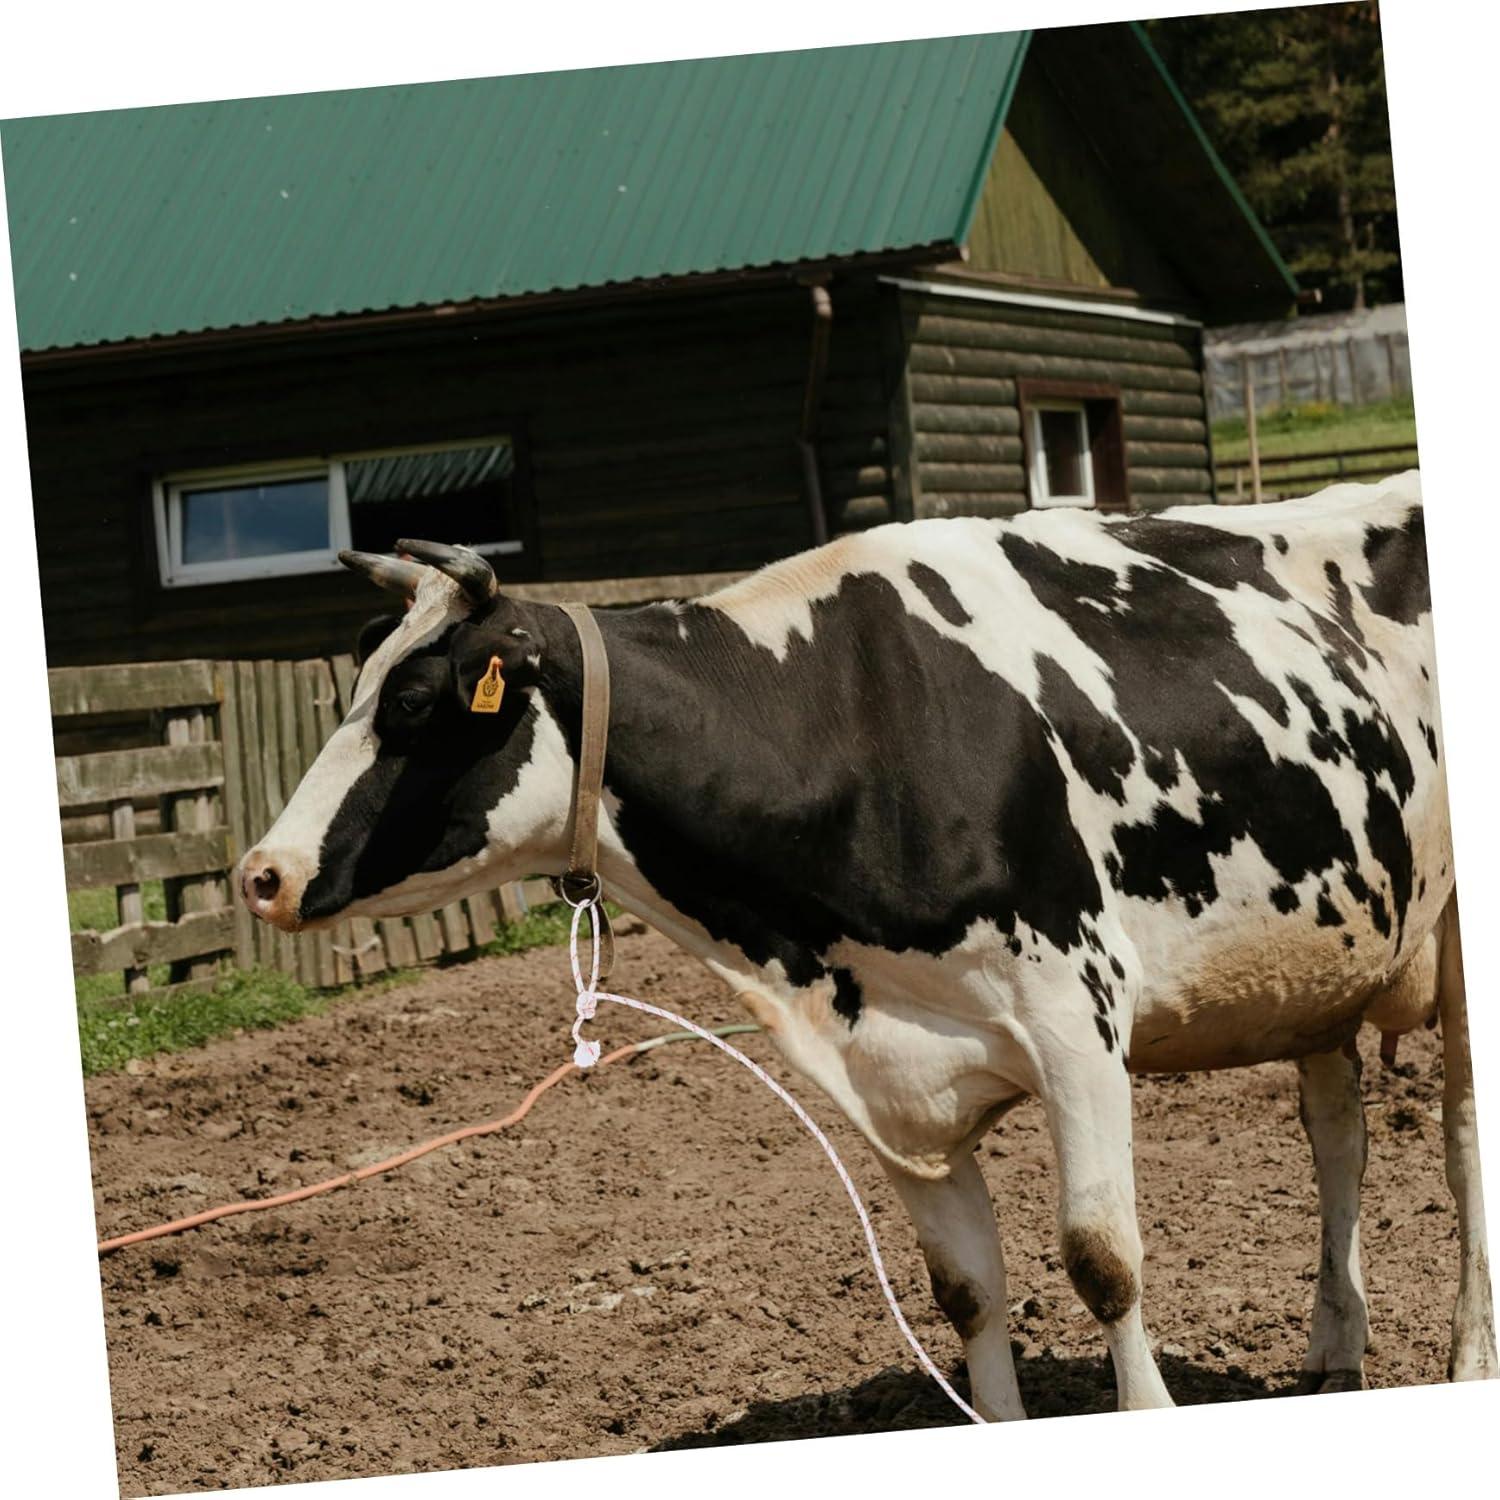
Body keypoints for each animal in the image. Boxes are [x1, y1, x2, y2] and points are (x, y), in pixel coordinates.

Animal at [240, 469, 1494, 1419]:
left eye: (415, 705)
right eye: (357, 686)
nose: (262, 873)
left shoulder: (1076, 1020)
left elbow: (1102, 1260)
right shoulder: (887, 1080)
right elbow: (967, 1291)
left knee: (1460, 1143)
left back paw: (1466, 1358)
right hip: (1322, 957)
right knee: (1338, 1135)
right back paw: (1335, 1354)